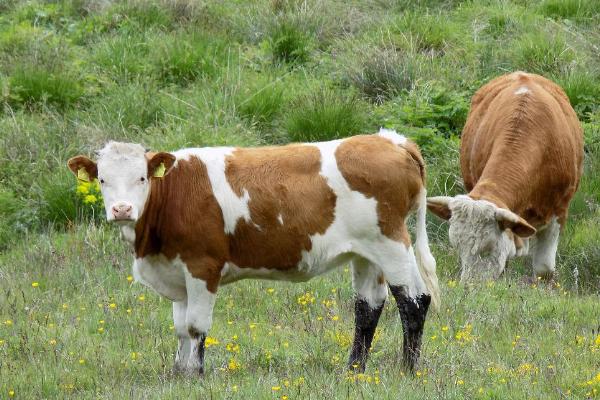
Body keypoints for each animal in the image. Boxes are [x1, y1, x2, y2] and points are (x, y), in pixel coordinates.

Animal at [68, 130, 440, 376]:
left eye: (142, 177)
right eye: (102, 180)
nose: (122, 209)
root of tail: (392, 140)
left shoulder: (203, 265)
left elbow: (196, 326)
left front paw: (197, 376)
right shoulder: (176, 271)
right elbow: (180, 328)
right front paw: (180, 373)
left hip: (391, 241)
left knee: (413, 299)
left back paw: (408, 371)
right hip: (366, 251)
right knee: (368, 307)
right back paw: (353, 370)